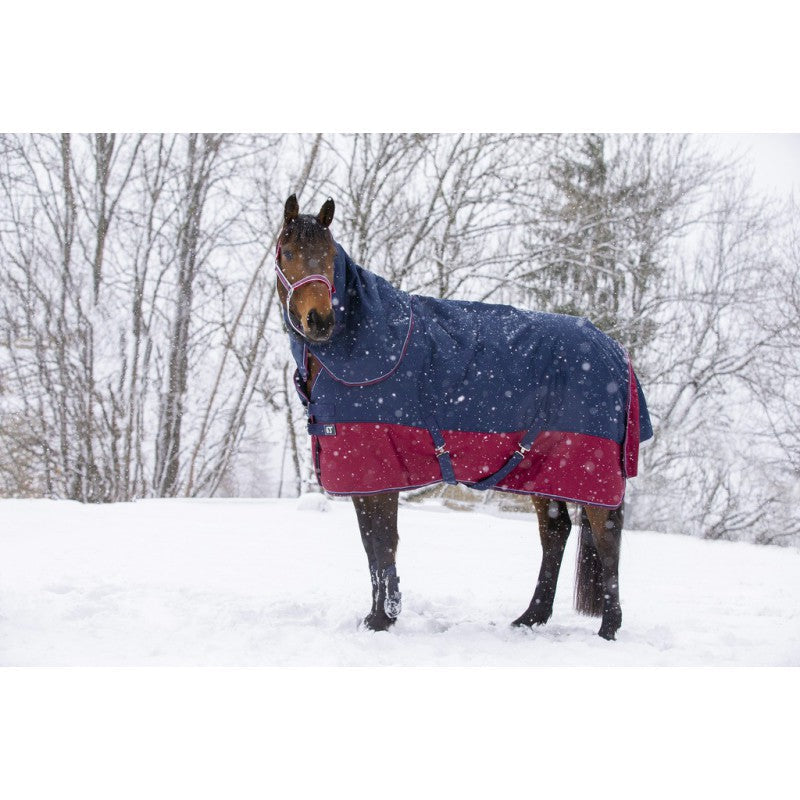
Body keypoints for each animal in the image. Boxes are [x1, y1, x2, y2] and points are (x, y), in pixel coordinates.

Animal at [276, 193, 652, 640]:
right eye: (288, 252)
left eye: (330, 256)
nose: (320, 321)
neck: (364, 346)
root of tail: (616, 350)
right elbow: (373, 547)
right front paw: (378, 617)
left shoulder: (375, 471)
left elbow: (382, 543)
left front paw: (382, 619)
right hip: (546, 472)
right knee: (555, 533)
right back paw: (530, 618)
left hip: (588, 470)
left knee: (606, 538)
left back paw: (608, 629)